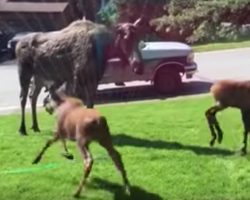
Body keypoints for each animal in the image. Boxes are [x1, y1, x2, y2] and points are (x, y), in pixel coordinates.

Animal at [17, 18, 145, 135]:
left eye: (139, 38)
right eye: (125, 38)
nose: (139, 67)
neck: (104, 49)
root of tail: (18, 44)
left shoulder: (93, 80)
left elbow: (90, 105)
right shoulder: (78, 79)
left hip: (39, 76)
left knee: (33, 96)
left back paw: (35, 126)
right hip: (24, 72)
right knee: (23, 98)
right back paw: (22, 129)